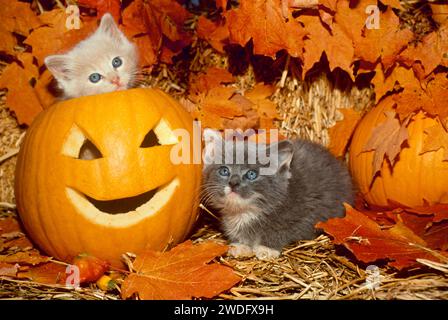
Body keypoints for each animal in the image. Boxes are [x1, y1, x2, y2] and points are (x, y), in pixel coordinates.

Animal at [202, 130, 354, 260]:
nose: (233, 183)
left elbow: (280, 230)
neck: (248, 211)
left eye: (251, 174)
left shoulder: (308, 214)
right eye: (224, 171)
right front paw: (241, 245)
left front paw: (267, 248)